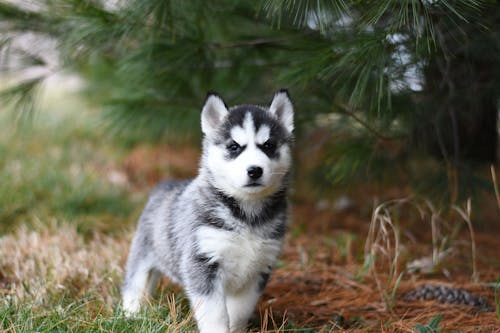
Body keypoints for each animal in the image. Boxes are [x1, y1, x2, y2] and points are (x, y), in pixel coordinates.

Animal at [122, 89, 292, 330]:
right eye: (234, 147)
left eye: (268, 146)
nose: (254, 170)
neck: (247, 214)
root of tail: (166, 184)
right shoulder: (202, 263)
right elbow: (215, 313)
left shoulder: (258, 270)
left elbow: (240, 312)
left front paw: (236, 329)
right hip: (142, 252)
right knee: (134, 282)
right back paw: (132, 313)